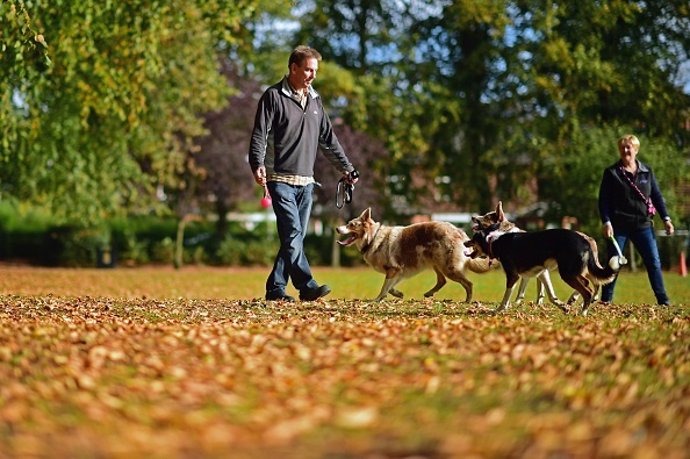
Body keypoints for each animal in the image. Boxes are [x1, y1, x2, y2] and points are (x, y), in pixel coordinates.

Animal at [334, 208, 494, 302]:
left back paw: (467, 301)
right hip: (436, 263)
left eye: (351, 225)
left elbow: (384, 287)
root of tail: (459, 231)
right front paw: (397, 294)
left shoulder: (393, 270)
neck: (373, 238)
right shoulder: (398, 271)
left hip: (449, 268)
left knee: (468, 284)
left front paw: (378, 299)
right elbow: (390, 288)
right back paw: (429, 293)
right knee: (442, 281)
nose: (337, 228)